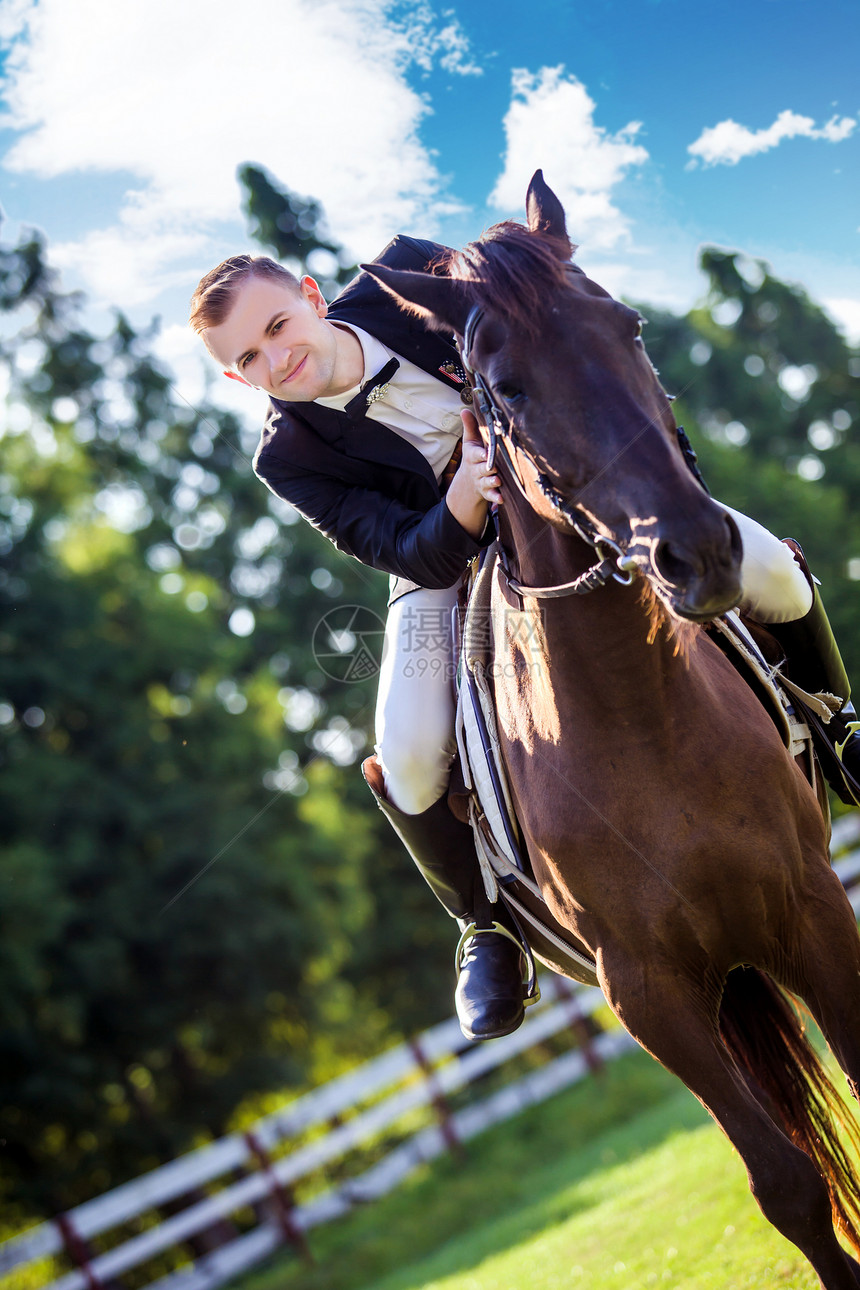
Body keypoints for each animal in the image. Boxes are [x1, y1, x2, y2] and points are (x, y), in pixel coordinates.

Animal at [371, 174, 860, 1290]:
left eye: (628, 326)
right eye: (502, 388)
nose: (698, 552)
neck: (639, 719)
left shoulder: (813, 908)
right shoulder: (646, 992)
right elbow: (787, 1186)